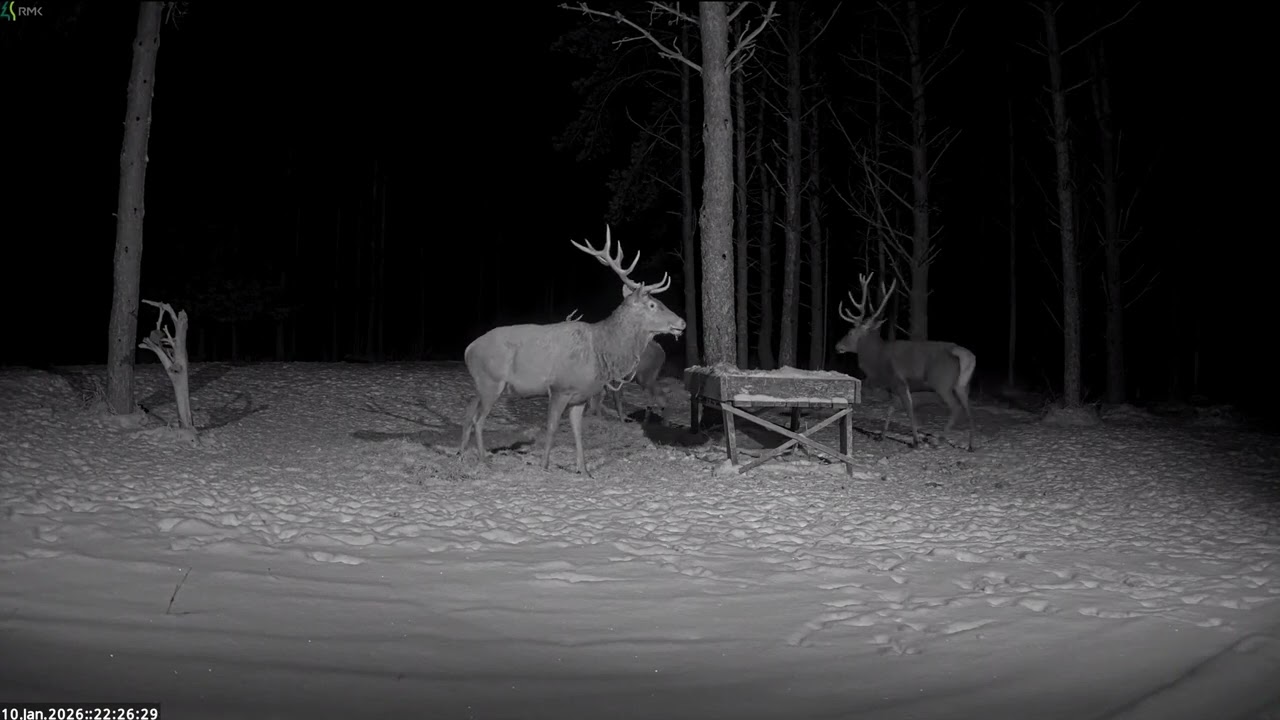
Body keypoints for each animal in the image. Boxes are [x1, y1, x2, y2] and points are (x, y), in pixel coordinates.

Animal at [459, 226, 686, 475]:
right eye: (653, 305)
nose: (682, 322)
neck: (601, 351)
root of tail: (468, 349)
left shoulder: (580, 395)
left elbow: (578, 432)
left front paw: (584, 470)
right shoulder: (560, 388)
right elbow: (551, 427)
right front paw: (544, 466)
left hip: (483, 384)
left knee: (470, 411)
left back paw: (463, 454)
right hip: (491, 381)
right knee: (478, 419)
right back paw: (483, 461)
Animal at [835, 272, 977, 451]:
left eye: (851, 332)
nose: (837, 346)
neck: (876, 362)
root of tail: (964, 354)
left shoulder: (899, 380)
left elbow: (909, 410)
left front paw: (916, 441)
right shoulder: (894, 386)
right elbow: (891, 409)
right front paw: (881, 436)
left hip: (941, 383)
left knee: (956, 408)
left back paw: (939, 440)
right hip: (962, 385)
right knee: (969, 410)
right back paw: (971, 445)